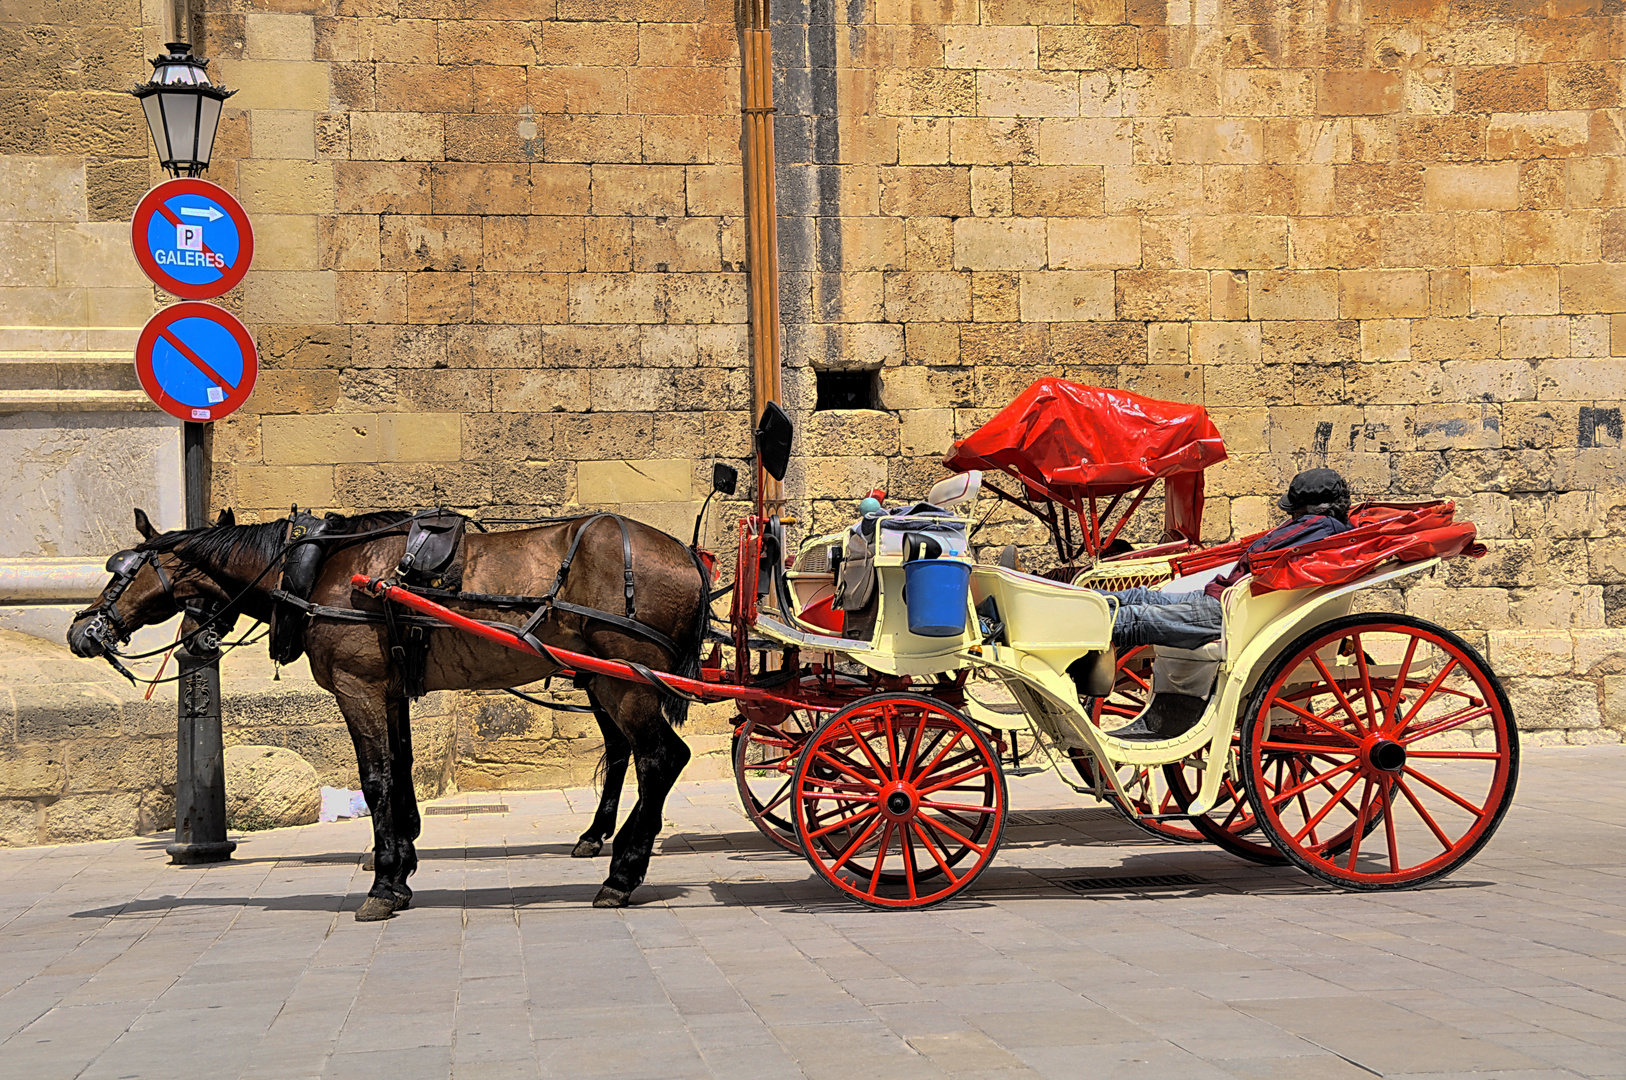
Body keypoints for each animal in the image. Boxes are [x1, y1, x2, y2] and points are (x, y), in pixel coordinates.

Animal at [68, 507, 705, 917]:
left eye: (119, 570)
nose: (81, 630)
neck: (315, 569)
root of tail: (688, 556)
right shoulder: (390, 691)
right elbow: (398, 779)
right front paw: (399, 870)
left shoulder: (359, 688)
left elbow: (375, 782)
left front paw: (381, 886)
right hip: (611, 679)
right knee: (642, 755)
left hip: (623, 679)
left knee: (659, 758)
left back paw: (621, 872)